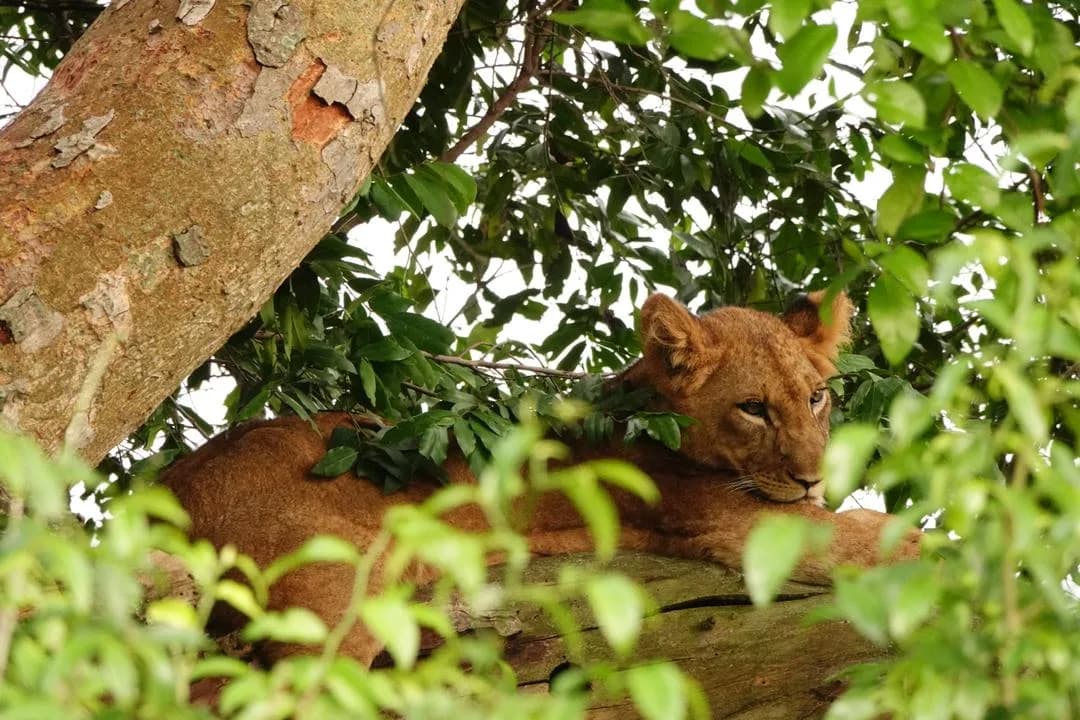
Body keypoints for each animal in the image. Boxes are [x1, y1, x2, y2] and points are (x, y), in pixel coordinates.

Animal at [163, 291, 919, 665]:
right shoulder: (739, 522)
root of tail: (165, 492)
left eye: (815, 398)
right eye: (753, 409)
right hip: (333, 578)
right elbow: (869, 539)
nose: (813, 480)